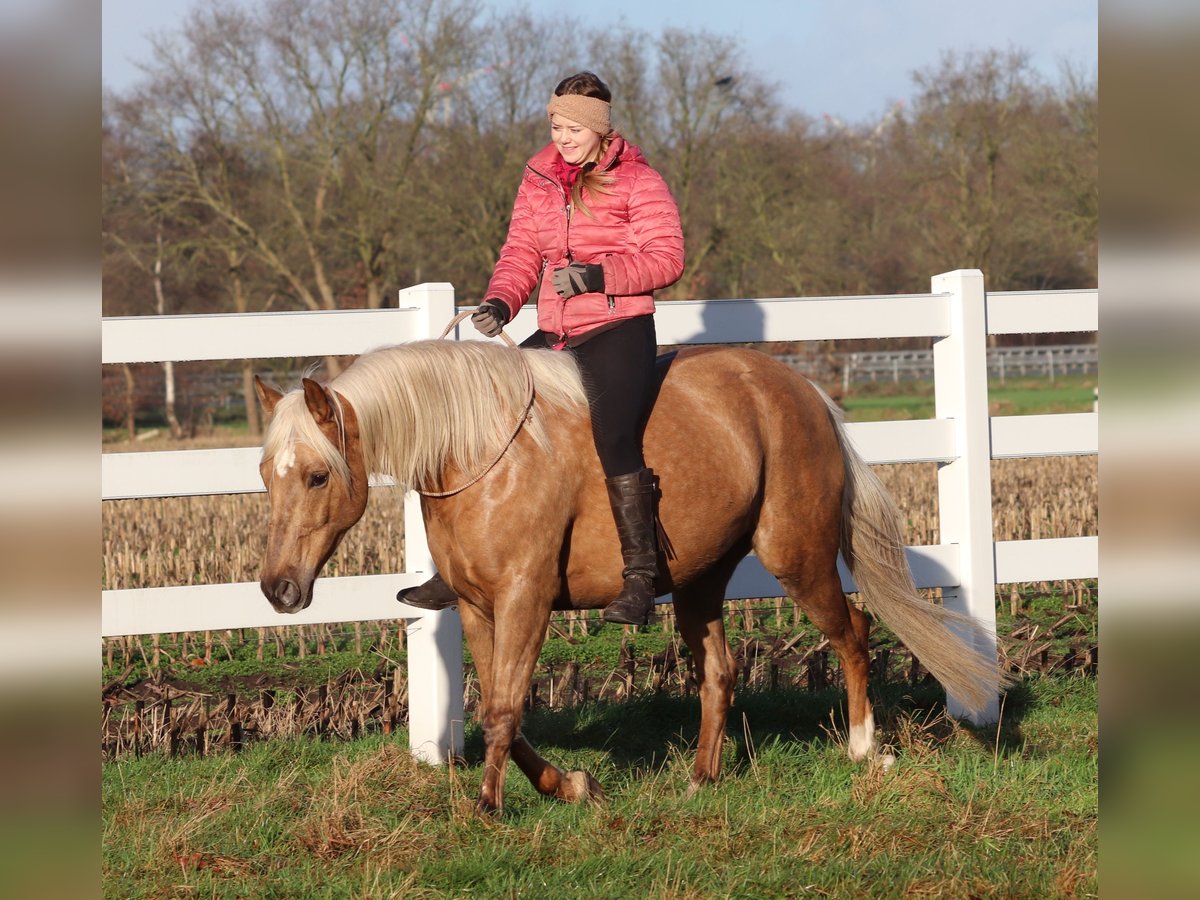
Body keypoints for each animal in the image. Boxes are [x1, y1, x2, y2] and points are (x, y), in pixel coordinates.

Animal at [258, 340, 998, 816]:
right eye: (267, 473)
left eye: (318, 475)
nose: (277, 589)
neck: (479, 453)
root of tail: (803, 391)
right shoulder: (475, 606)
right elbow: (501, 708)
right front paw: (571, 785)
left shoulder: (525, 598)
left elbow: (503, 708)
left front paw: (488, 806)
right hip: (702, 578)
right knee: (721, 671)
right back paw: (701, 779)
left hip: (798, 555)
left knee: (855, 631)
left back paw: (866, 749)